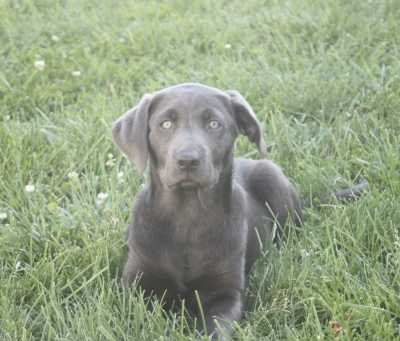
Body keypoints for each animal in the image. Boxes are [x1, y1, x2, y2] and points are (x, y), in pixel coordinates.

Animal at [112, 82, 366, 338]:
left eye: (214, 124)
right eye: (165, 124)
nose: (188, 160)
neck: (187, 213)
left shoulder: (227, 293)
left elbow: (216, 329)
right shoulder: (135, 288)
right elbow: (136, 320)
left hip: (270, 174)